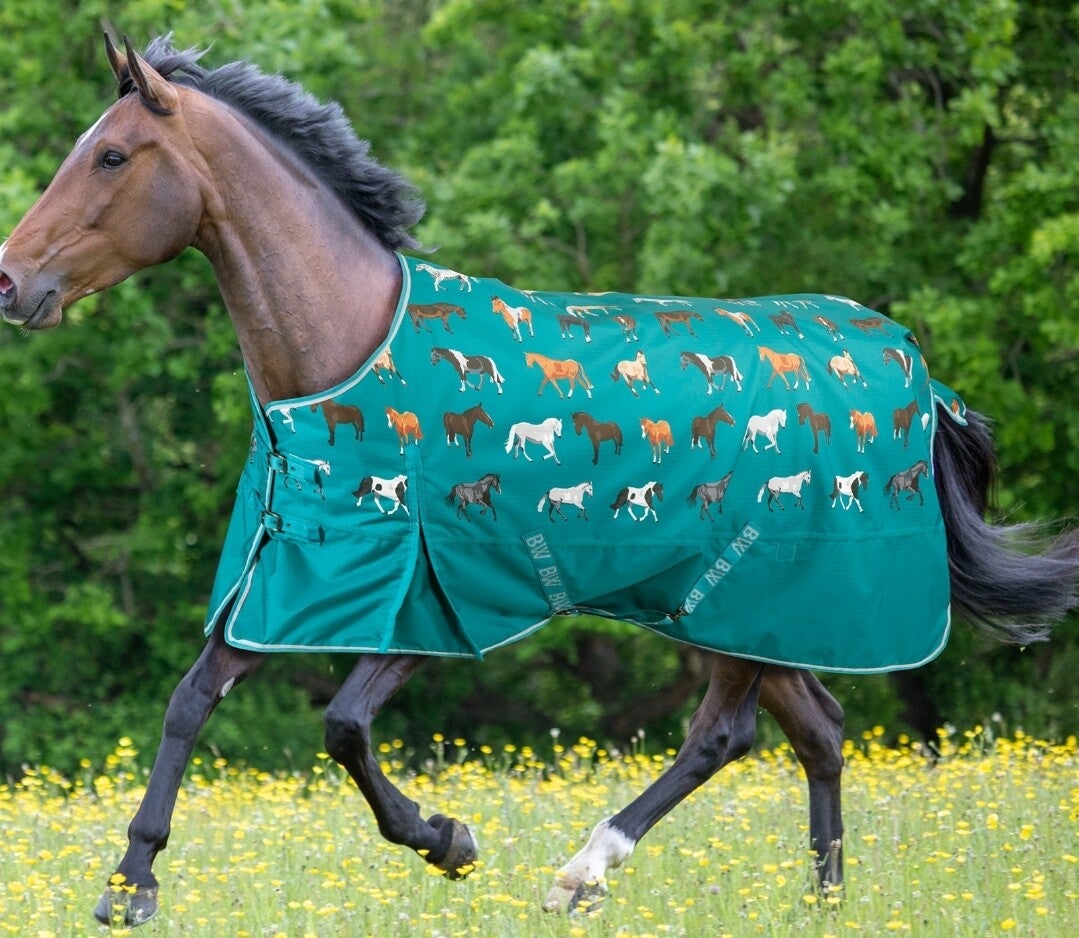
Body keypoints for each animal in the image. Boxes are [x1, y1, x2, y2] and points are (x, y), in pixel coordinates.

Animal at [2, 35, 1077, 928]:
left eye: (111, 156)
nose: (13, 283)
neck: (351, 353)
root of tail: (913, 370)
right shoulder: (292, 575)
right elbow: (191, 699)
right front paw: (130, 885)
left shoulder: (435, 597)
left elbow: (344, 727)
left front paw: (448, 841)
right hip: (755, 614)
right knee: (819, 729)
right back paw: (821, 903)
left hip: (743, 589)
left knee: (722, 733)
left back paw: (582, 872)